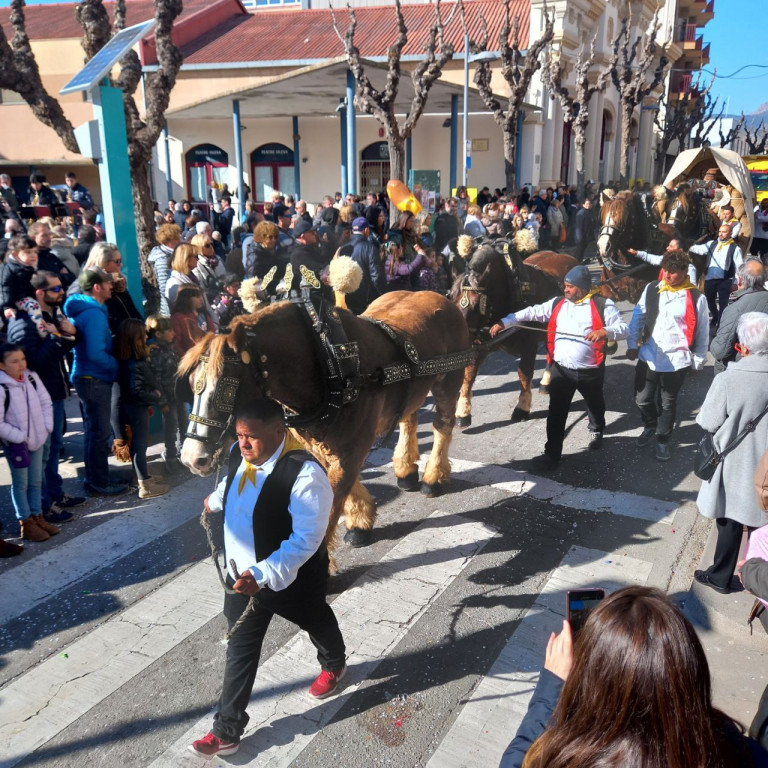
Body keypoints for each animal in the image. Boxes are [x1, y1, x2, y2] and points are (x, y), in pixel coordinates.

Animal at [178, 292, 468, 552]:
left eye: (226, 389)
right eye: (191, 384)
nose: (192, 458)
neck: (327, 362)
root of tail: (441, 298)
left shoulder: (352, 448)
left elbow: (331, 499)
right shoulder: (320, 446)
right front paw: (360, 520)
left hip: (449, 381)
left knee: (442, 425)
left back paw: (433, 477)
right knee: (409, 418)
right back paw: (406, 471)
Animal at [450, 246, 576, 426]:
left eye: (476, 305)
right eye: (452, 301)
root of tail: (567, 257)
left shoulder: (529, 345)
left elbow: (524, 374)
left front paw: (522, 407)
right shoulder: (479, 345)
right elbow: (468, 376)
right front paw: (463, 412)